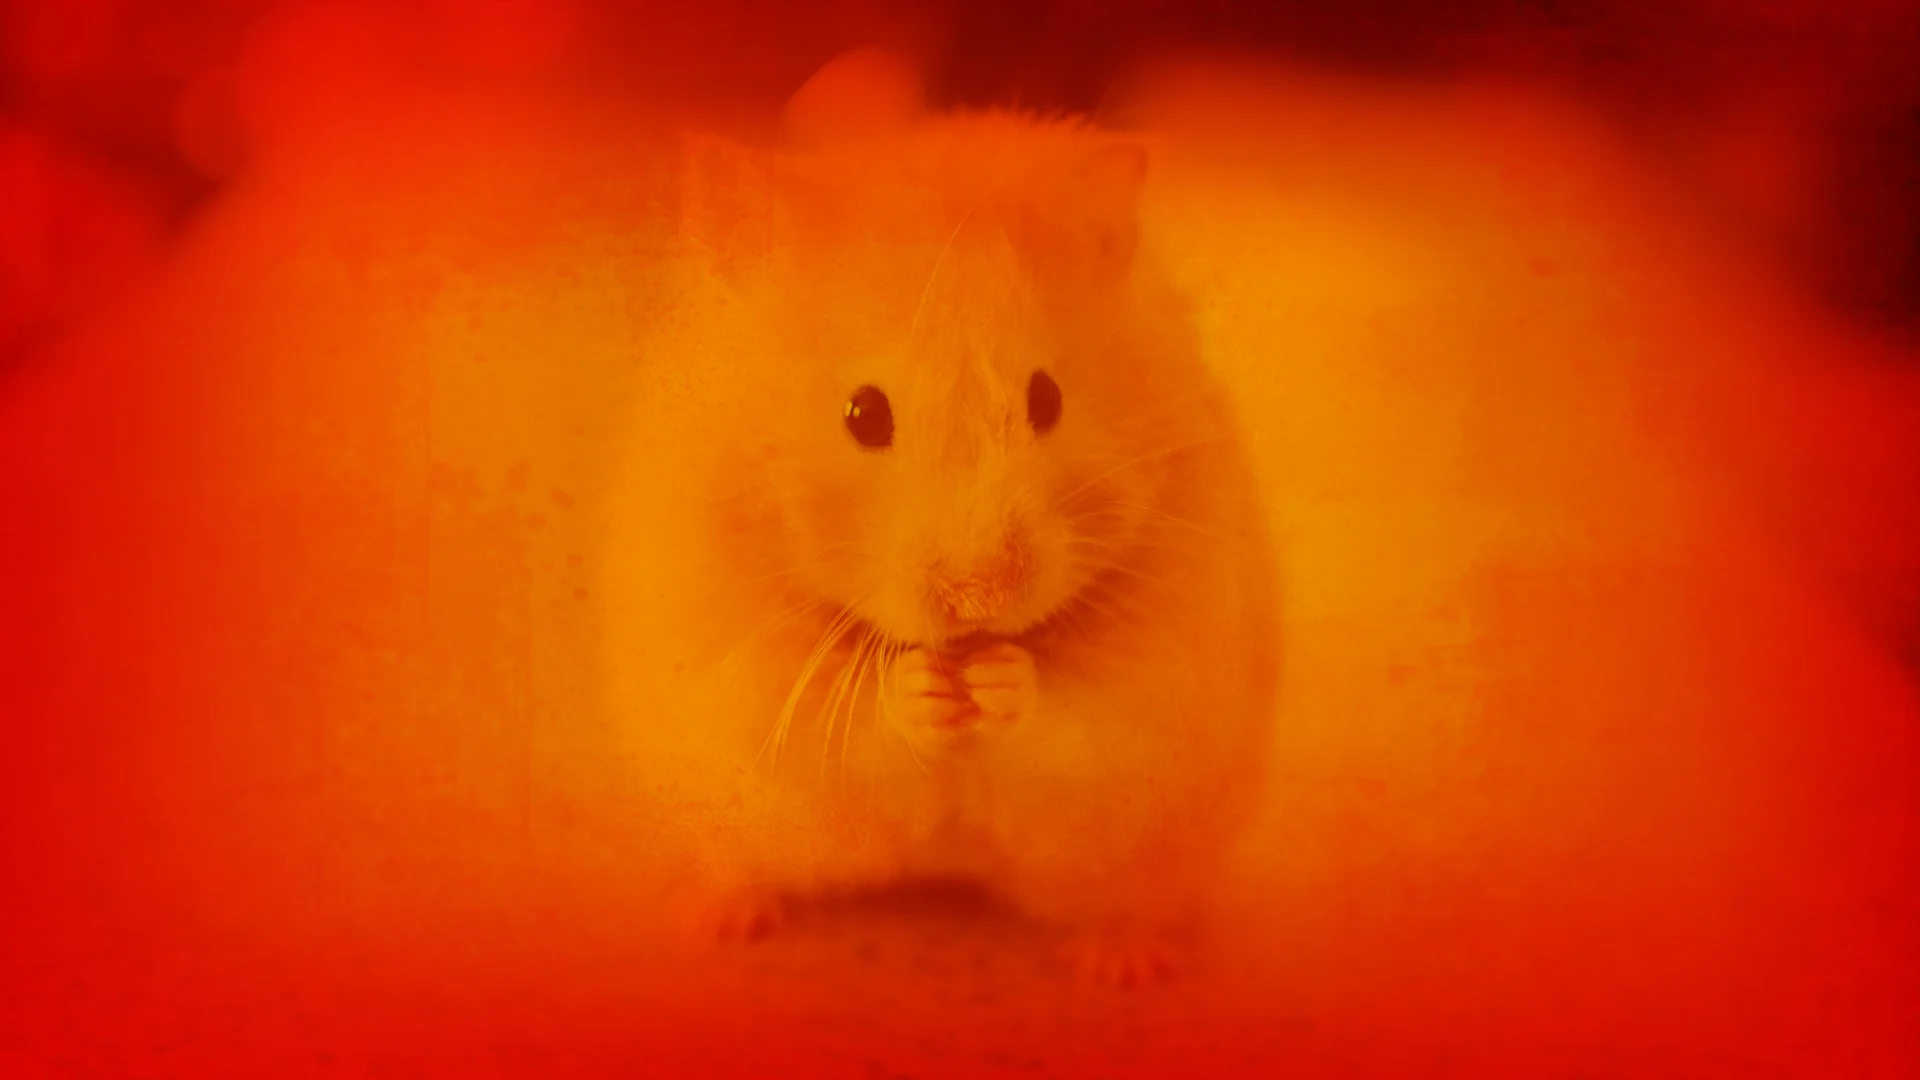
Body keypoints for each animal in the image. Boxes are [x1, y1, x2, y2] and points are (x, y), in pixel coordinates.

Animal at [601, 84, 1281, 985]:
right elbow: (844, 718)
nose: (978, 596)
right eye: (863, 413)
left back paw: (1120, 962)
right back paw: (721, 919)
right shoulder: (743, 665)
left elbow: (1079, 709)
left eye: (1046, 398)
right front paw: (925, 690)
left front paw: (996, 681)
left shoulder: (1165, 669)